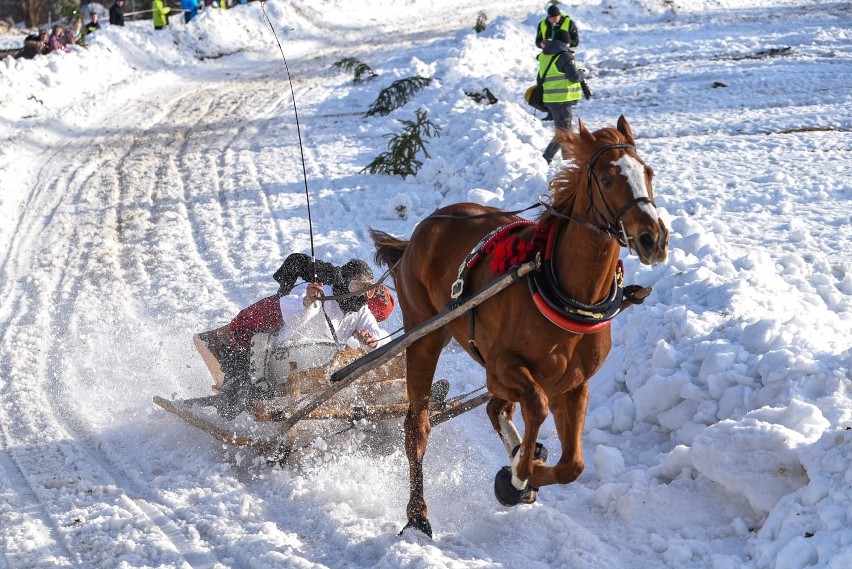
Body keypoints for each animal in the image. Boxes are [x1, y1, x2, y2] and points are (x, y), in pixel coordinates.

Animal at [370, 115, 668, 536]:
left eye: (648, 172)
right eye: (609, 179)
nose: (652, 238)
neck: (567, 291)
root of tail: (421, 229)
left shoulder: (574, 384)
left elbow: (572, 465)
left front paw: (523, 471)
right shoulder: (504, 368)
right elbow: (536, 409)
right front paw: (520, 475)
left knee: (497, 408)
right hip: (424, 337)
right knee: (418, 426)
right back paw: (418, 513)